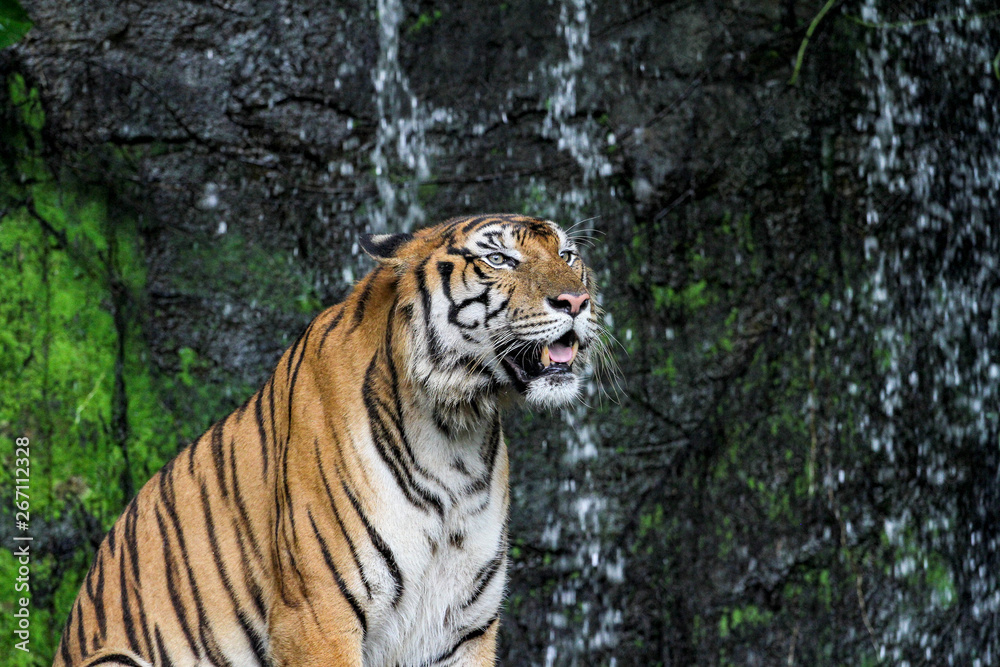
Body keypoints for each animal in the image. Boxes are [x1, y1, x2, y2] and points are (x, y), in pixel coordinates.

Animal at [54, 213, 602, 667]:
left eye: (567, 255)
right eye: (498, 259)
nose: (576, 301)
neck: (456, 433)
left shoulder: (463, 627)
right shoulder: (316, 614)